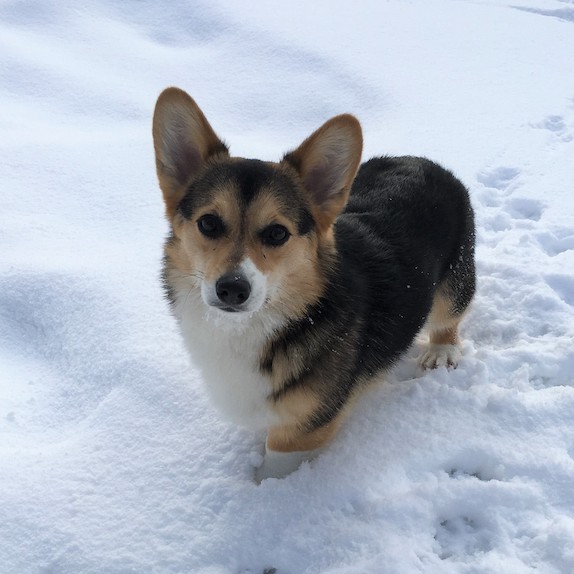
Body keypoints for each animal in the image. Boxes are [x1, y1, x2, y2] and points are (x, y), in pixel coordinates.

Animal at [152, 88, 476, 484]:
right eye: (209, 223)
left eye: (277, 233)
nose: (232, 289)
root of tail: (425, 161)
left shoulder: (303, 429)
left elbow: (275, 466)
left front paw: (262, 494)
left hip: (454, 282)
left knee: (449, 316)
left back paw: (441, 351)